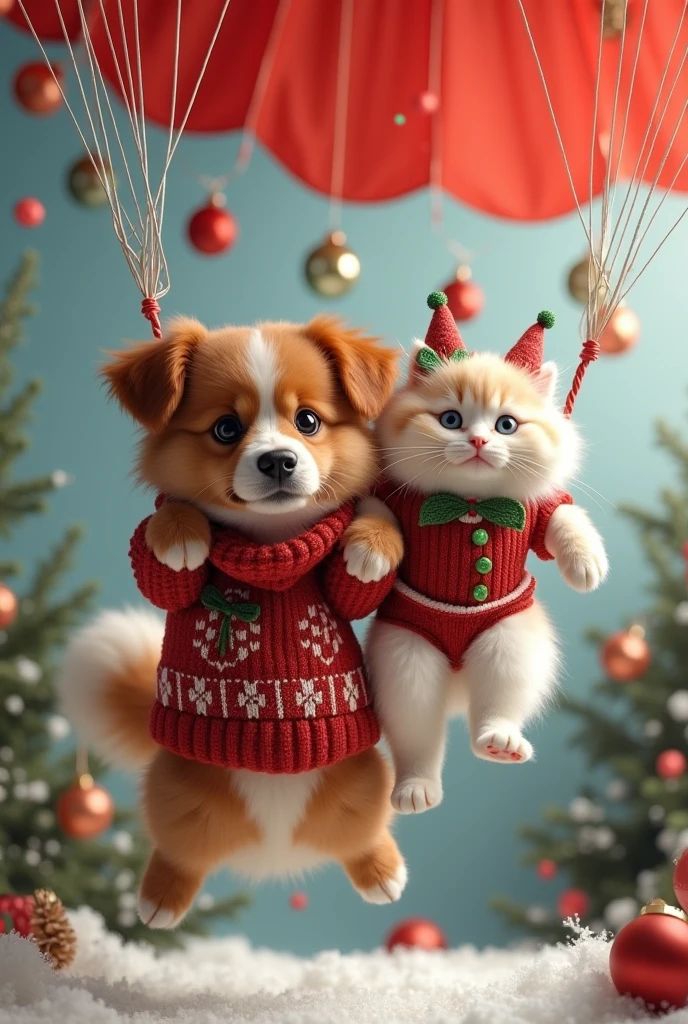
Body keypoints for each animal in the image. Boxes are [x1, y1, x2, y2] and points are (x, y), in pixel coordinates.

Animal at [59, 313, 405, 929]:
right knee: (179, 851)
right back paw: (159, 898)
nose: (278, 460)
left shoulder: (343, 583)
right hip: (178, 793)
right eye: (225, 428)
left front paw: (371, 544)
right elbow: (166, 544)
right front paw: (179, 532)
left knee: (361, 835)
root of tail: (273, 849)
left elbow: (361, 566)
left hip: (363, 781)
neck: (270, 543)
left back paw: (382, 871)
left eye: (308, 420)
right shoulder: (170, 580)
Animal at [364, 299, 606, 815]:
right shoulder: (392, 497)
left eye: (506, 424)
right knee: (418, 733)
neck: (469, 504)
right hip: (406, 658)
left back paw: (499, 741)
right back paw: (416, 787)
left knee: (497, 704)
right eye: (451, 420)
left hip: (507, 641)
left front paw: (586, 563)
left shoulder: (536, 512)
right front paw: (368, 555)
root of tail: (458, 684)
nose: (478, 441)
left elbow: (564, 517)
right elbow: (376, 515)